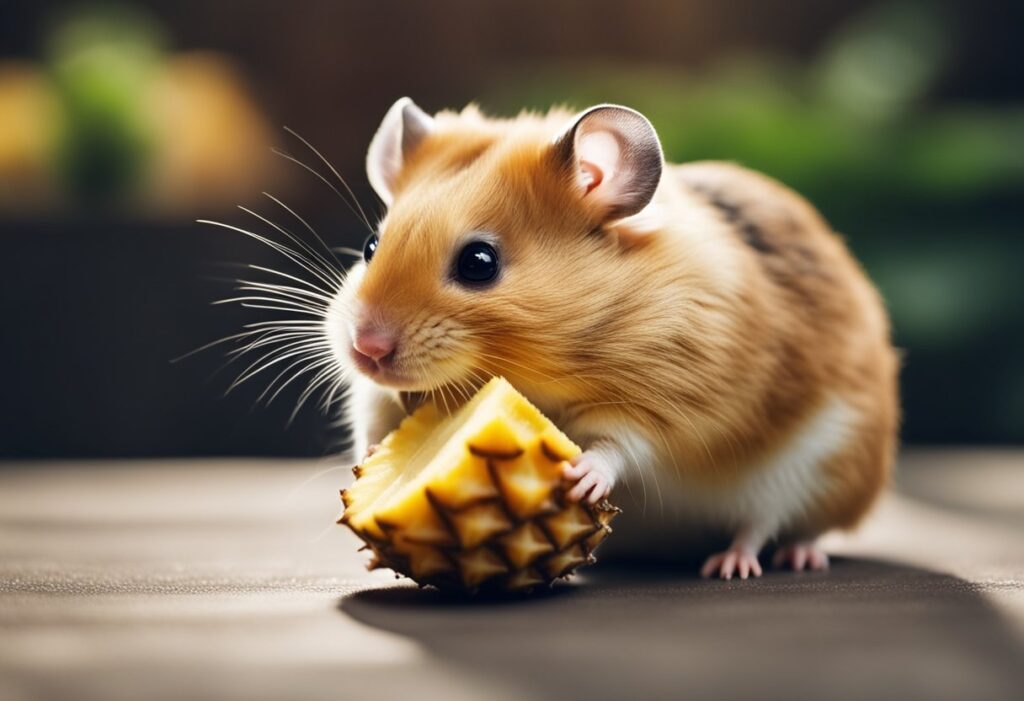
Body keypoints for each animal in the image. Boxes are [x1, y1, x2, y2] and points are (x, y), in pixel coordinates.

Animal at [325, 97, 900, 580]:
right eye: (371, 245)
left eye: (479, 263)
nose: (367, 350)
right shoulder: (375, 394)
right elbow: (374, 418)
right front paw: (375, 459)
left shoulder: (669, 398)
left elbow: (621, 444)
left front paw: (582, 477)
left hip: (817, 468)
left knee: (769, 525)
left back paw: (746, 565)